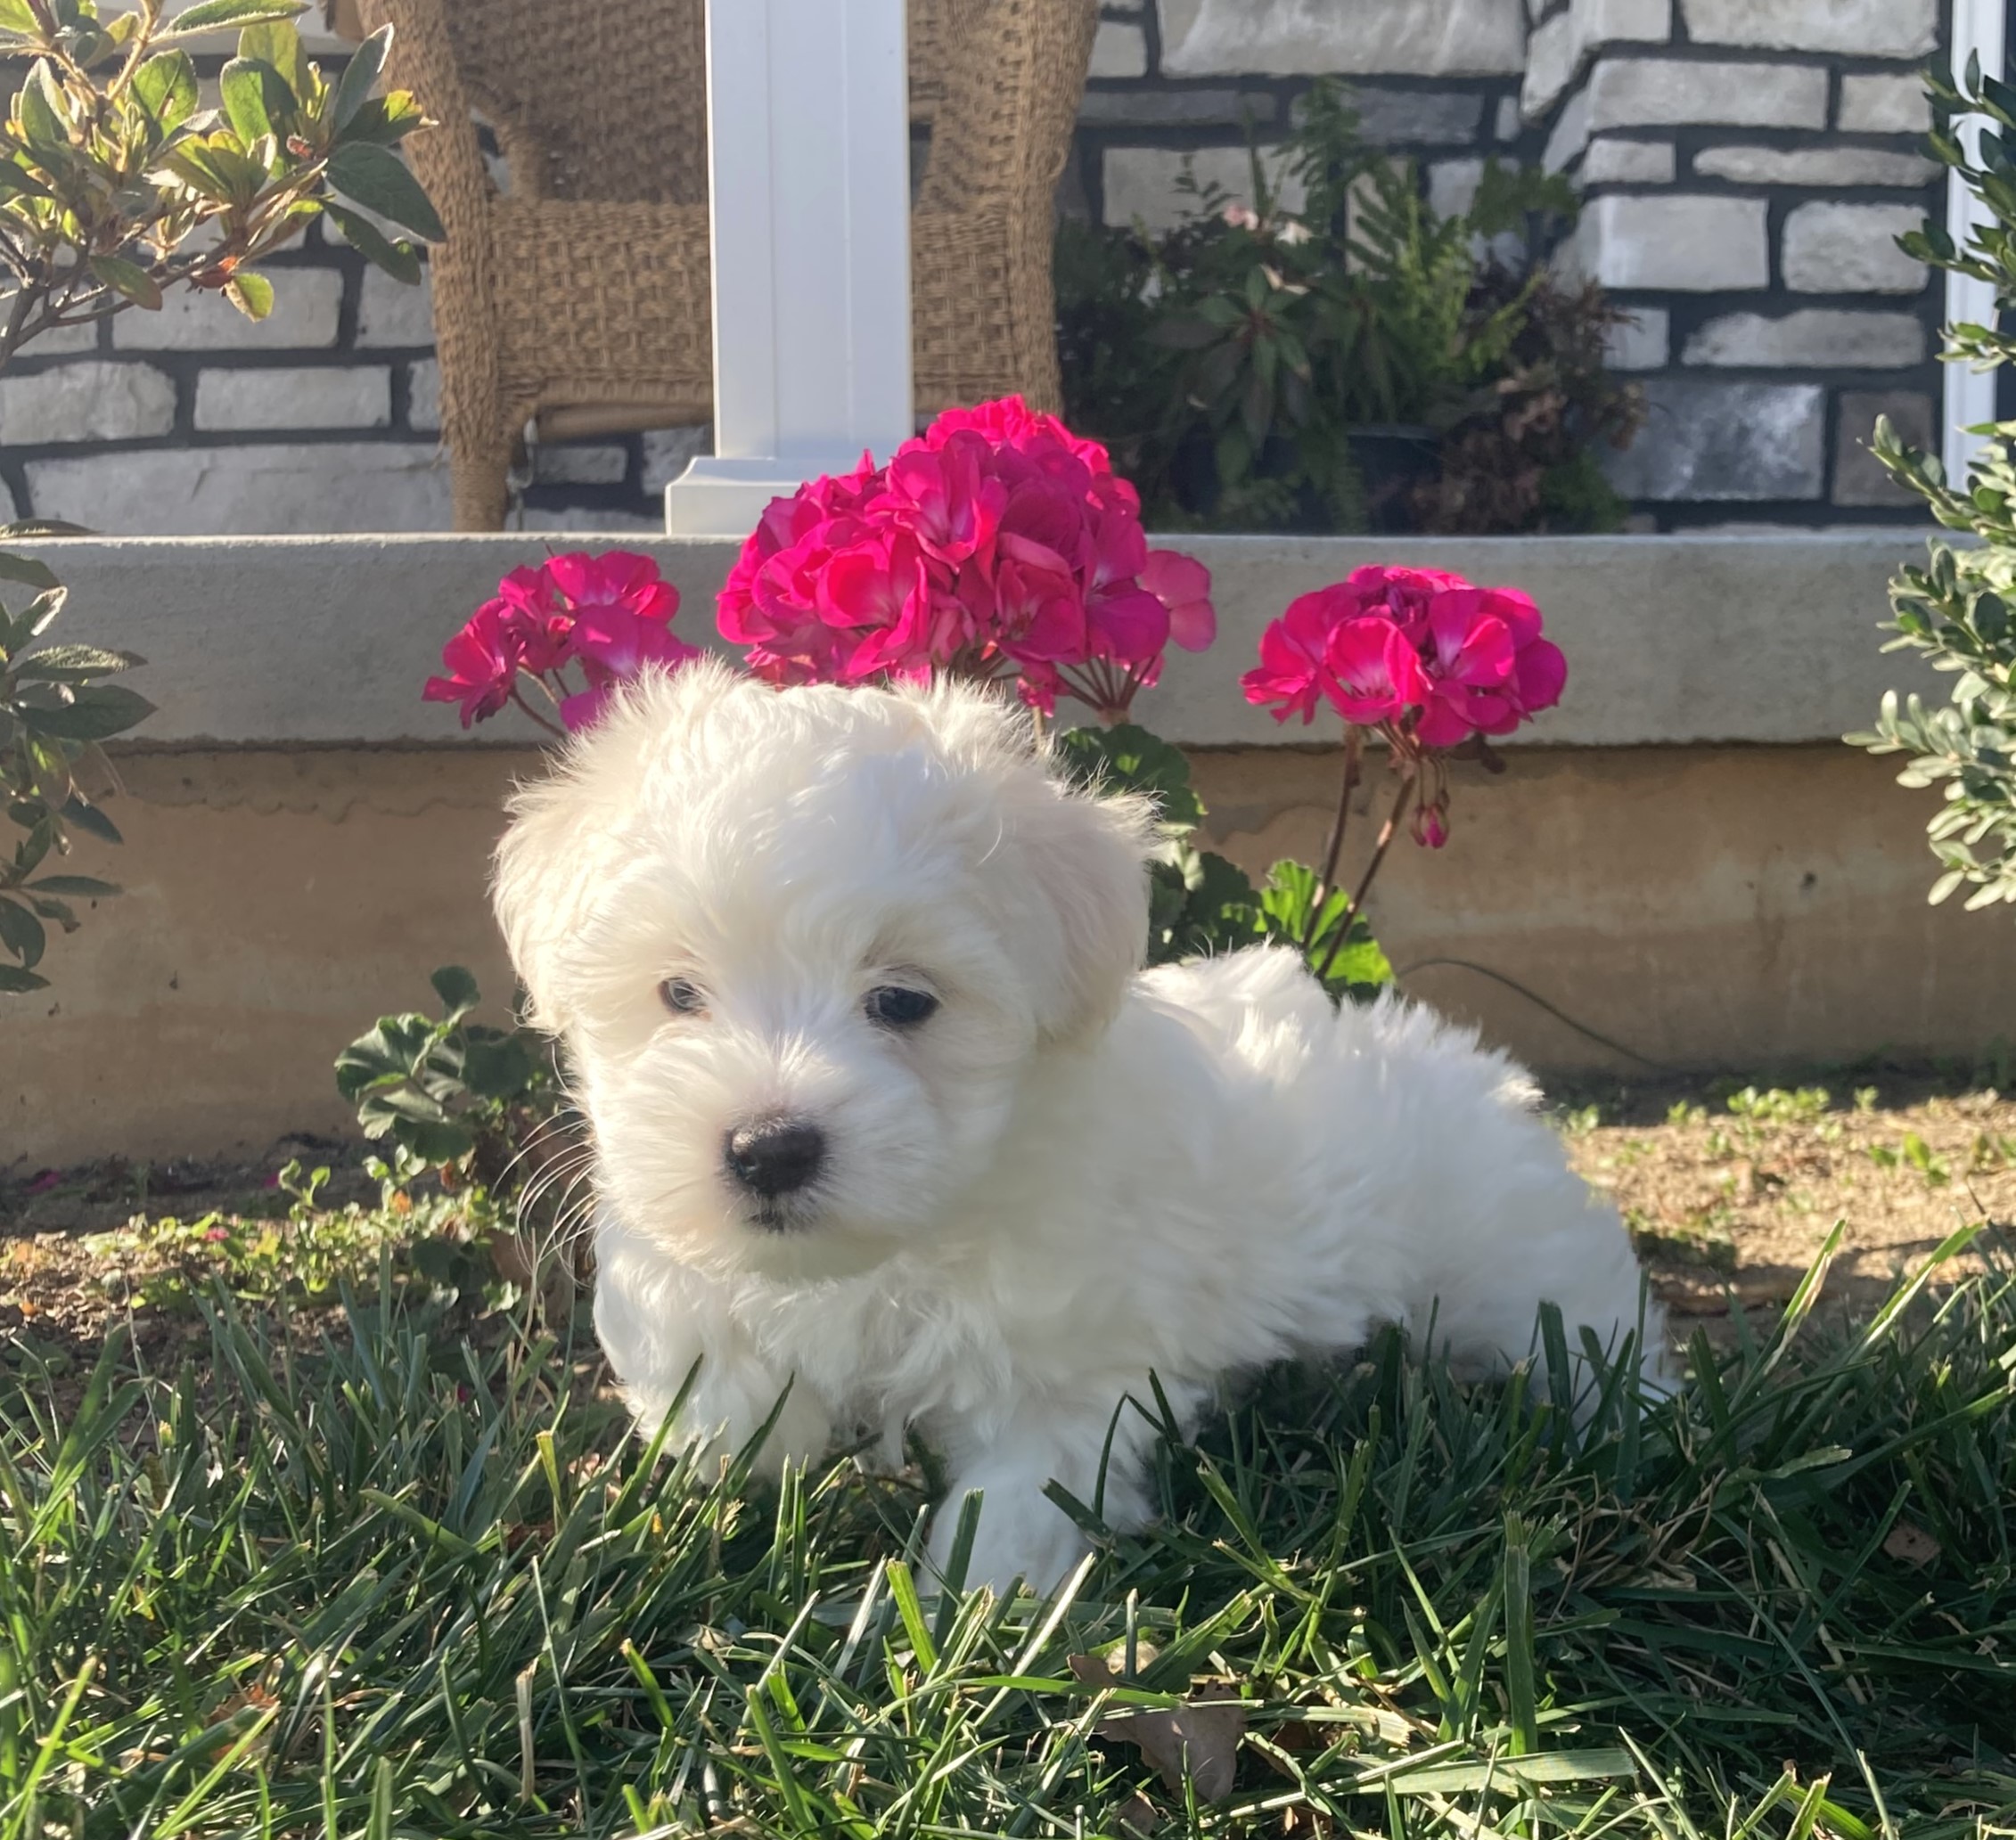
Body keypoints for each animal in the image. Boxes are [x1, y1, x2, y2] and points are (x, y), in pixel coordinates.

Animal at [491, 665, 1668, 1596]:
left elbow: (1021, 1485)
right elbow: (713, 1377)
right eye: (677, 992)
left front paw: (966, 1613)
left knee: (1586, 1319)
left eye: (904, 1001)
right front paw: (713, 1473)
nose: (768, 1147)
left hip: (1506, 1260)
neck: (895, 1244)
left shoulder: (1069, 1363)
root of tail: (1455, 1060)